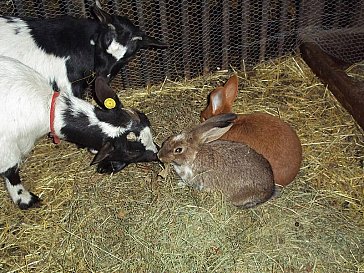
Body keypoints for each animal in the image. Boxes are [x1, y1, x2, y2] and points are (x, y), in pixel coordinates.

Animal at [0, 55, 159, 208]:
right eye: (131, 152)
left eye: (145, 118)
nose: (157, 154)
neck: (48, 108)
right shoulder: (7, 149)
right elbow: (11, 172)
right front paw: (25, 199)